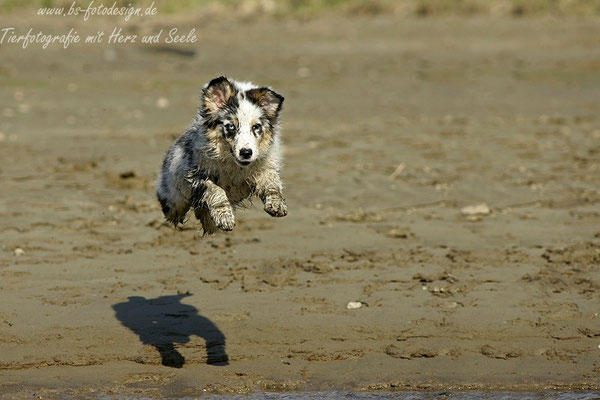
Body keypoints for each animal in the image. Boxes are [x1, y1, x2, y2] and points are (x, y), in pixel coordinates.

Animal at [155, 76, 286, 234]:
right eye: (231, 126)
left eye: (256, 126)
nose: (246, 153)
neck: (235, 166)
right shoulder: (197, 174)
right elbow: (216, 191)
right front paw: (225, 217)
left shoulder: (264, 166)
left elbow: (272, 182)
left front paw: (277, 204)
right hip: (174, 195)